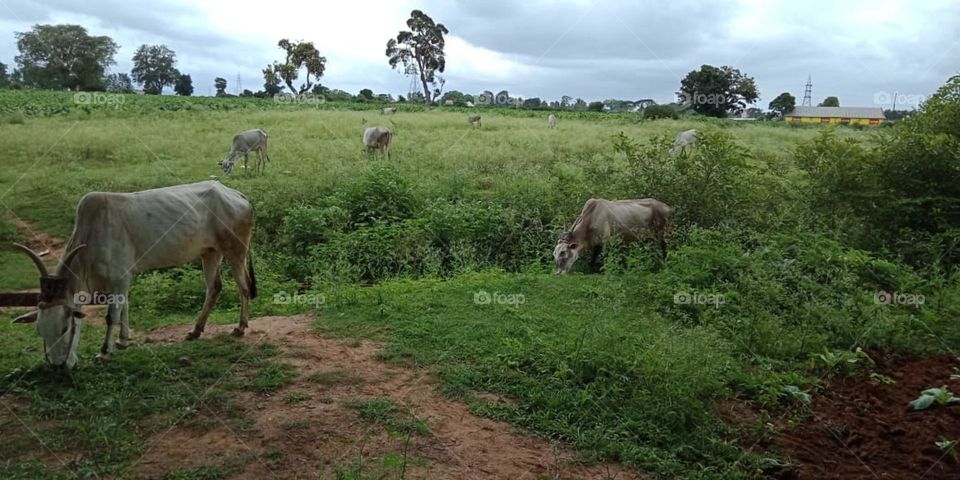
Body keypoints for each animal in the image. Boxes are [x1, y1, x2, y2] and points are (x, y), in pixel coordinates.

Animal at [11, 181, 257, 368]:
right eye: (40, 331)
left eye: (65, 328)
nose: (57, 366)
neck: (92, 237)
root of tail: (236, 194)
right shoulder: (123, 279)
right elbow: (124, 308)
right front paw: (123, 342)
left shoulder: (119, 277)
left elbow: (112, 315)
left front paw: (104, 351)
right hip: (210, 253)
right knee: (214, 287)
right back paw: (195, 331)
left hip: (236, 251)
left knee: (243, 286)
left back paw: (240, 328)